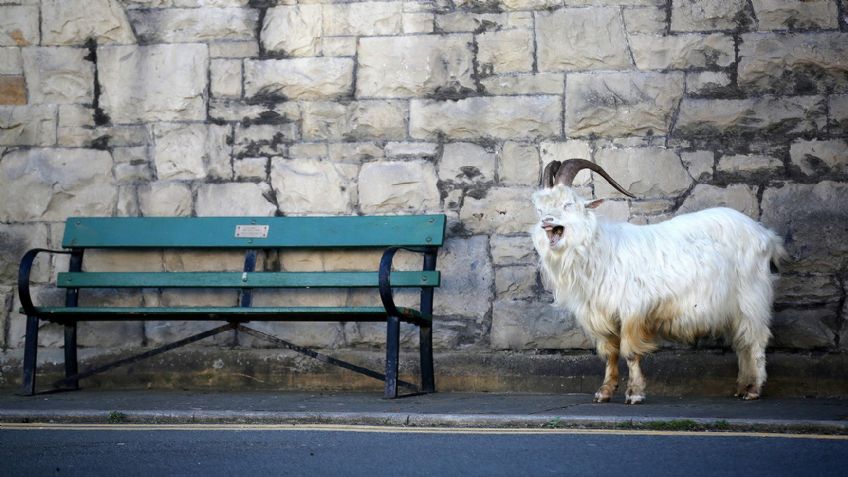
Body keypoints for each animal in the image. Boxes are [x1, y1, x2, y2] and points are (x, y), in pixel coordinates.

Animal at [532, 159, 784, 402]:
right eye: (539, 208)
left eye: (568, 204)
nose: (546, 221)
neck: (598, 249)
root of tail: (766, 235)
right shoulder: (601, 316)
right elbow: (610, 353)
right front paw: (604, 392)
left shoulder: (632, 310)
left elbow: (630, 352)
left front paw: (634, 393)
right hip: (733, 307)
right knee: (742, 343)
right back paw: (742, 387)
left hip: (752, 296)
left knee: (756, 340)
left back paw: (753, 389)